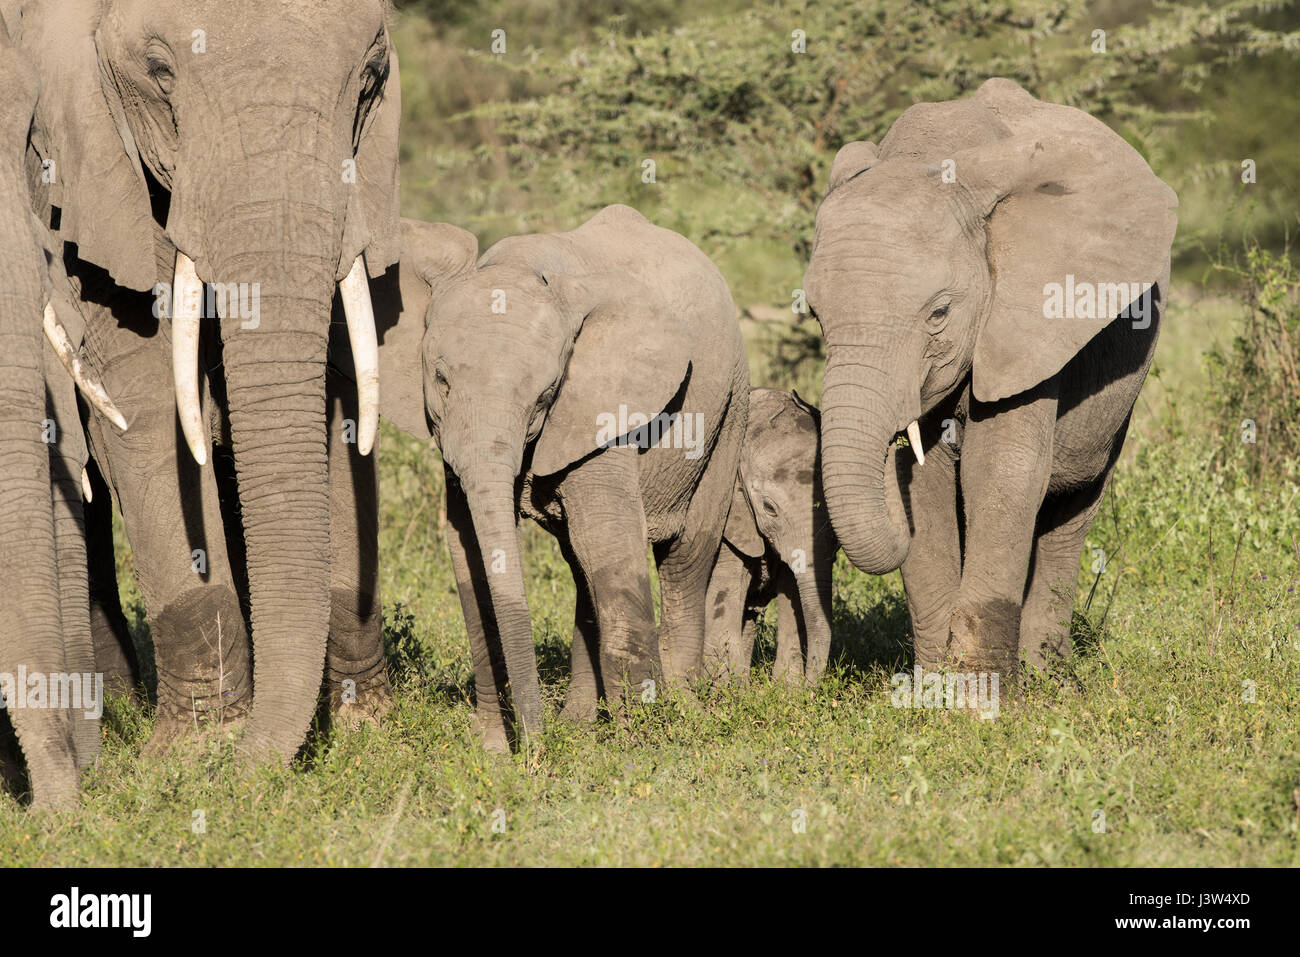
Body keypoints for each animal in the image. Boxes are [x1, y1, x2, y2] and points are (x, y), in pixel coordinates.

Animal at [6, 0, 400, 764]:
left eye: (369, 78)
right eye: (160, 74)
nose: (260, 771)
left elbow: (338, 383)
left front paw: (367, 734)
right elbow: (147, 404)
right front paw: (199, 754)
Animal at [371, 205, 748, 748]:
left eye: (546, 395)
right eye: (441, 380)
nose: (533, 746)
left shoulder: (601, 401)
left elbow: (608, 540)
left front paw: (643, 743)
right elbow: (469, 548)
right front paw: (493, 749)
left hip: (730, 409)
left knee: (687, 553)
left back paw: (685, 708)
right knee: (578, 564)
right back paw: (580, 723)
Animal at [707, 390, 837, 686]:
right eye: (769, 507)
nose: (813, 689)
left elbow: (793, 592)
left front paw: (787, 689)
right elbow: (724, 595)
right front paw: (733, 693)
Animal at [800, 80, 1180, 681]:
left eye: (939, 314)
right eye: (816, 315)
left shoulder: (1029, 323)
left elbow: (1002, 472)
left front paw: (983, 693)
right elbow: (924, 485)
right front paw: (937, 688)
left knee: (1072, 509)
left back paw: (1050, 676)